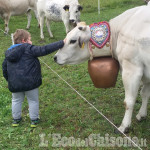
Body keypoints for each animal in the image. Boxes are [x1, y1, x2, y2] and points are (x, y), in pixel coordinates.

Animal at [54, 4, 150, 132]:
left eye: (73, 40)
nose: (55, 57)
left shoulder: (132, 69)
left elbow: (129, 101)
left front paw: (124, 126)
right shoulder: (146, 74)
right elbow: (145, 93)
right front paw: (142, 114)